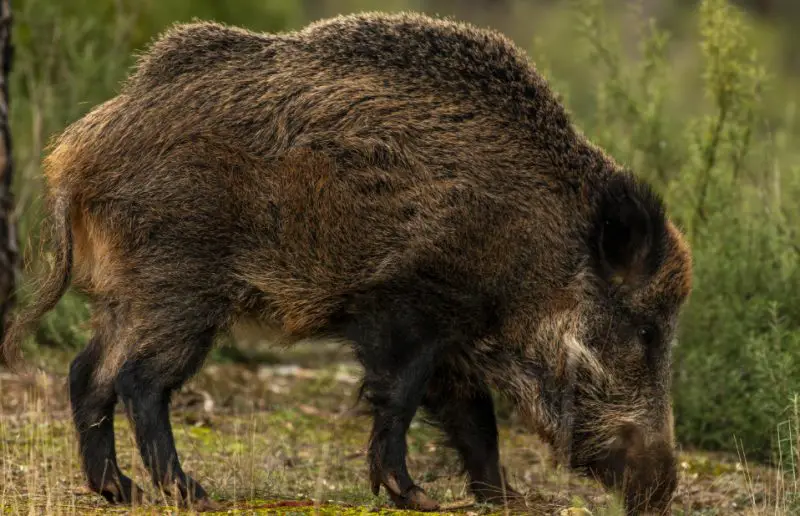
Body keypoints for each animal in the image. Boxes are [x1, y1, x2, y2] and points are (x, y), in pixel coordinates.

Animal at [0, 12, 692, 515]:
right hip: (180, 284)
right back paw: (191, 494)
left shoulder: (456, 338)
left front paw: (505, 500)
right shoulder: (408, 307)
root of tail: (80, 145)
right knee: (138, 379)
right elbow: (401, 398)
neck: (531, 244)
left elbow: (474, 420)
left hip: (131, 291)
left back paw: (119, 491)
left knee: (87, 371)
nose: (662, 490)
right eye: (646, 331)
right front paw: (414, 495)